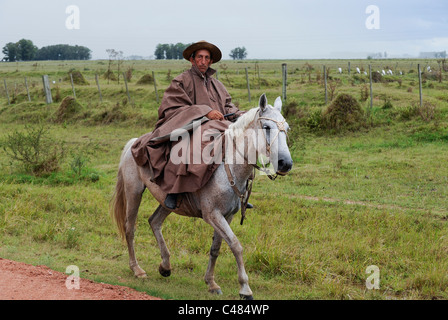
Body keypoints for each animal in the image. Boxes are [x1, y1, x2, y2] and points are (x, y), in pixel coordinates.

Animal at [111, 93, 294, 300]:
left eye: (287, 129)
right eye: (267, 127)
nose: (285, 163)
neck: (229, 167)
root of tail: (134, 142)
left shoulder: (227, 216)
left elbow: (216, 248)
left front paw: (211, 283)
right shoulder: (212, 215)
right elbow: (236, 245)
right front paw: (245, 288)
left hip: (167, 203)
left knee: (154, 221)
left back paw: (165, 266)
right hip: (133, 191)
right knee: (130, 228)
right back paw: (137, 269)